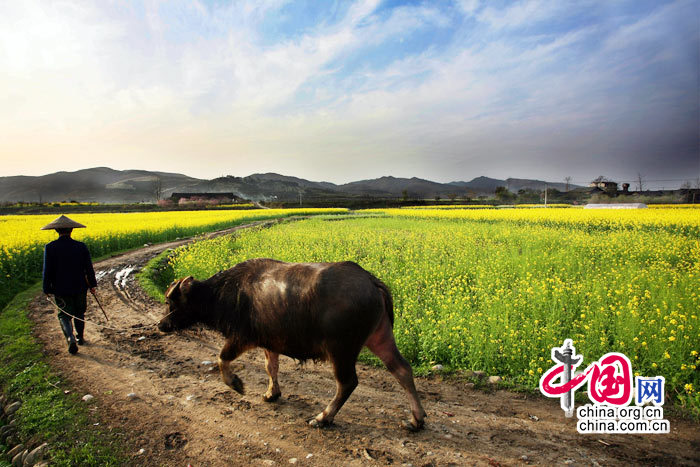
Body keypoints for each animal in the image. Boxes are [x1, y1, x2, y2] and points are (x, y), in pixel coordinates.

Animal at [159, 258, 426, 430]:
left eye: (171, 302)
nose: (161, 325)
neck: (223, 293)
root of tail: (371, 281)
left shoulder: (241, 338)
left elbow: (222, 358)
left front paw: (236, 384)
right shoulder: (270, 342)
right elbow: (271, 368)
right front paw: (271, 393)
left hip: (341, 349)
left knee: (347, 382)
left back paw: (323, 418)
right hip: (380, 337)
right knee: (402, 369)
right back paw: (416, 419)